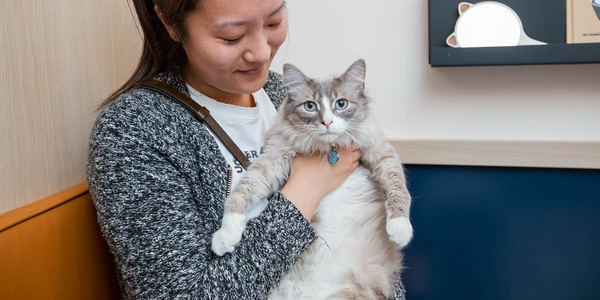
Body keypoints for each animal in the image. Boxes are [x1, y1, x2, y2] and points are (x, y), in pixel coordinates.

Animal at [211, 59, 412, 298]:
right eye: (310, 106)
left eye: (341, 104)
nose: (327, 122)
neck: (328, 149)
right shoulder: (274, 160)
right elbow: (240, 195)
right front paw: (225, 237)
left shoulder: (381, 153)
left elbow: (399, 189)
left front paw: (400, 228)